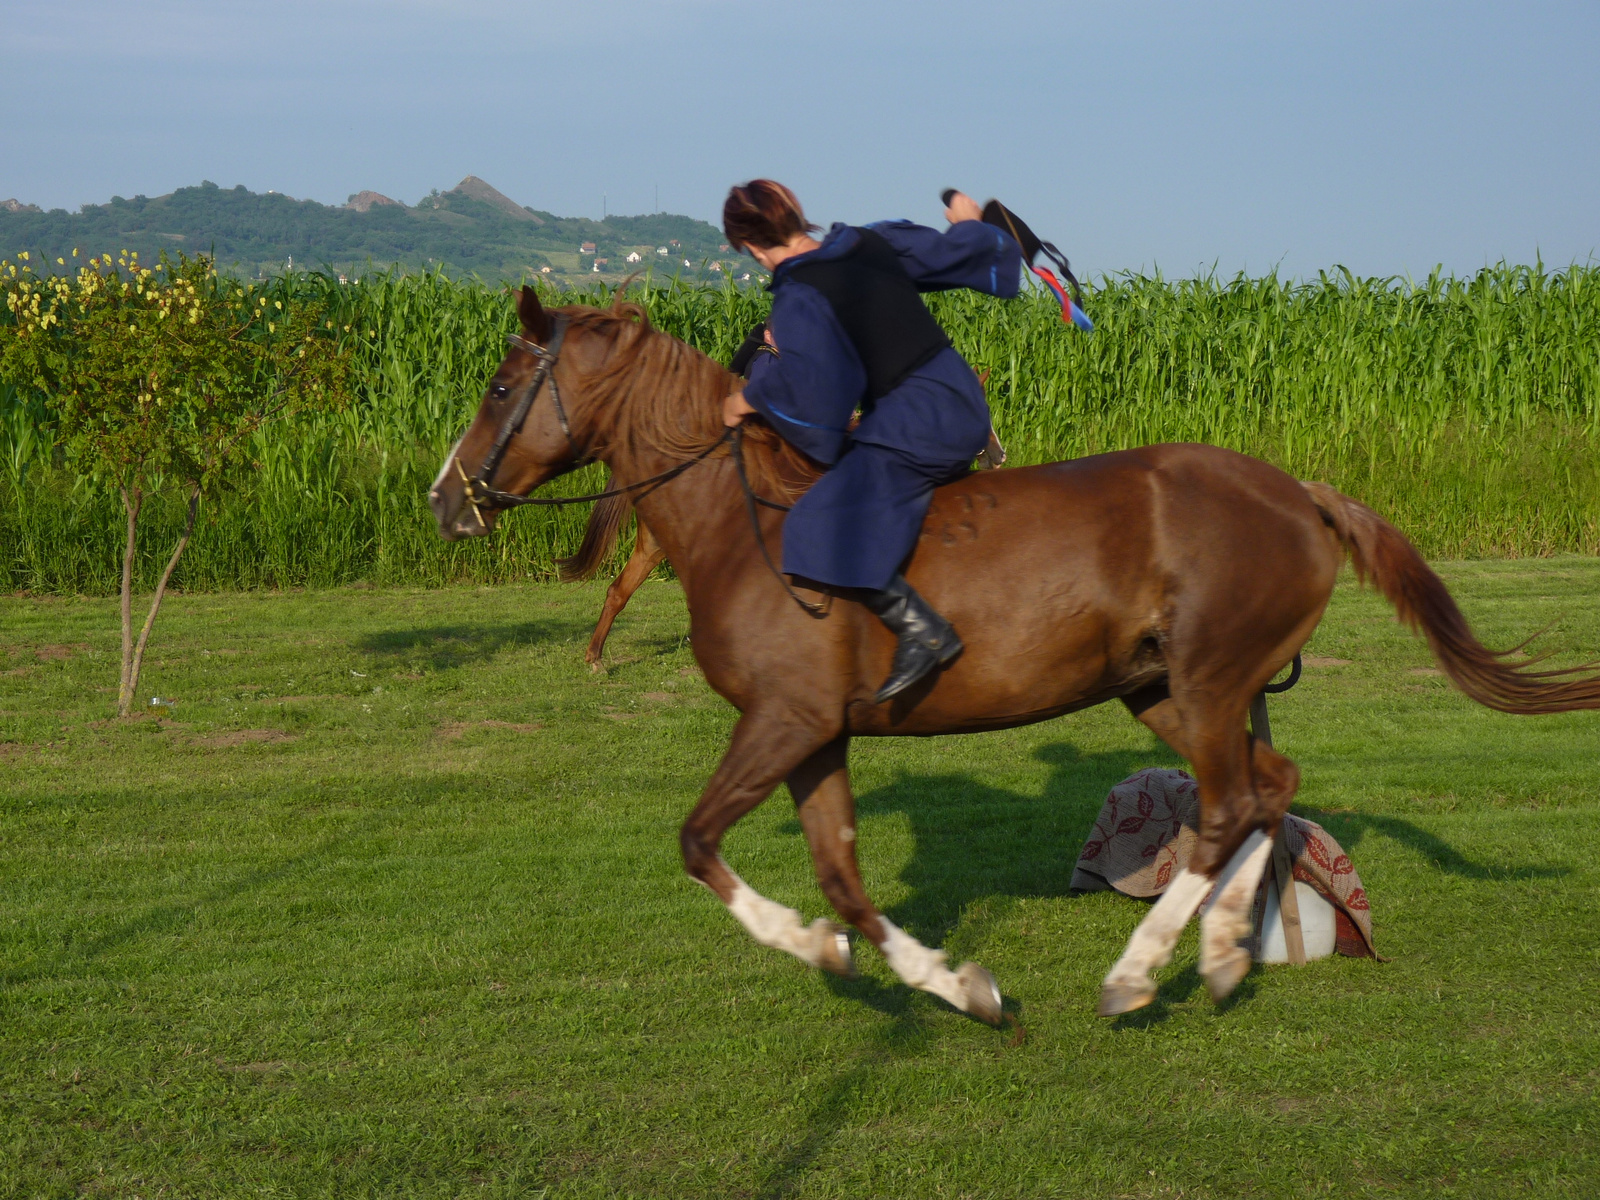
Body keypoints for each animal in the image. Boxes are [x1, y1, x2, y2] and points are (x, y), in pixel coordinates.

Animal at [432, 284, 1600, 1024]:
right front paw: (937, 980)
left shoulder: (782, 722)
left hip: (1209, 680)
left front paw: (825, 946)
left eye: (499, 390)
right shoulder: (811, 733)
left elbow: (698, 842)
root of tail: (1297, 493)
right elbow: (842, 879)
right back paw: (1224, 952)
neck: (739, 516)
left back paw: (1140, 974)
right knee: (1269, 790)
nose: (447, 500)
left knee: (1231, 805)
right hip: (1162, 689)